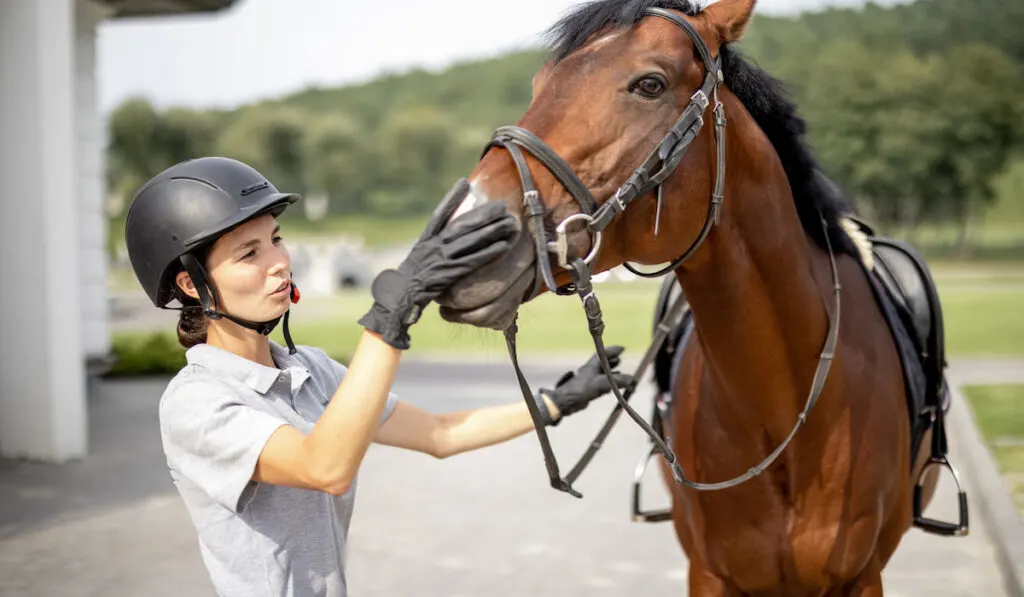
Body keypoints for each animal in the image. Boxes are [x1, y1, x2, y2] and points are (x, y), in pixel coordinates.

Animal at [432, 1, 966, 593]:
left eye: (650, 84)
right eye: (539, 84)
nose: (465, 233)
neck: (783, 415)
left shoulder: (859, 577)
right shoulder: (710, 573)